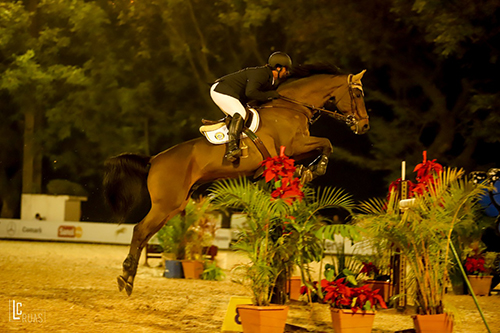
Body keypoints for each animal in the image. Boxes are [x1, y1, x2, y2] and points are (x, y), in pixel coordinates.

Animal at [103, 63, 370, 294]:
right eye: (357, 94)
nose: (364, 126)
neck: (291, 108)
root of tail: (154, 159)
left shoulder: (295, 150)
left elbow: (321, 148)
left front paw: (306, 171)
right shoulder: (295, 145)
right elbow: (327, 143)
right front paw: (317, 169)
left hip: (173, 206)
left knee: (146, 234)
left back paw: (129, 277)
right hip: (166, 204)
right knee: (140, 231)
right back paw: (126, 278)